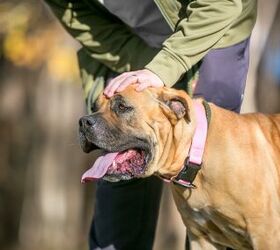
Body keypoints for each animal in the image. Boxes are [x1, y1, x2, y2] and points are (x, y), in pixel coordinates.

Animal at [78, 85, 280, 248]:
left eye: (122, 107)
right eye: (94, 107)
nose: (83, 122)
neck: (197, 151)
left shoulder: (265, 235)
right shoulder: (201, 238)